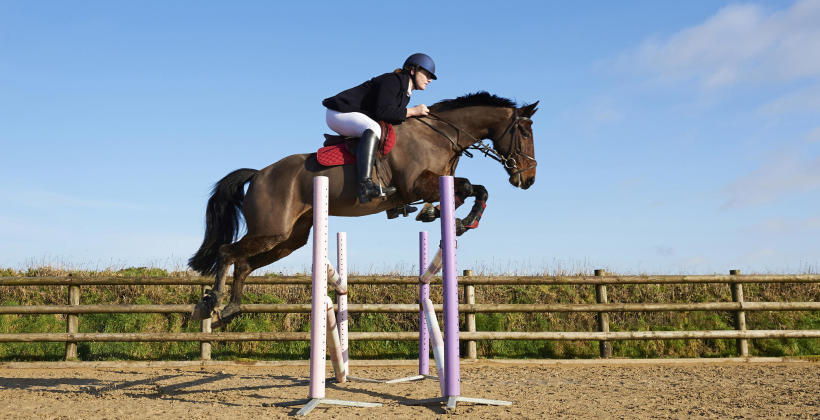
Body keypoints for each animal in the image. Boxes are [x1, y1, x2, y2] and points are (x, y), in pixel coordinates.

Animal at [189, 92, 540, 328]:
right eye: (524, 132)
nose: (528, 179)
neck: (440, 136)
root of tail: (259, 174)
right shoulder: (417, 183)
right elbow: (469, 189)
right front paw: (453, 219)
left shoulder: (439, 182)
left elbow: (472, 192)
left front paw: (449, 219)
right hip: (271, 230)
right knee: (227, 252)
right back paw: (211, 303)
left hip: (290, 238)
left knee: (244, 264)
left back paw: (230, 310)